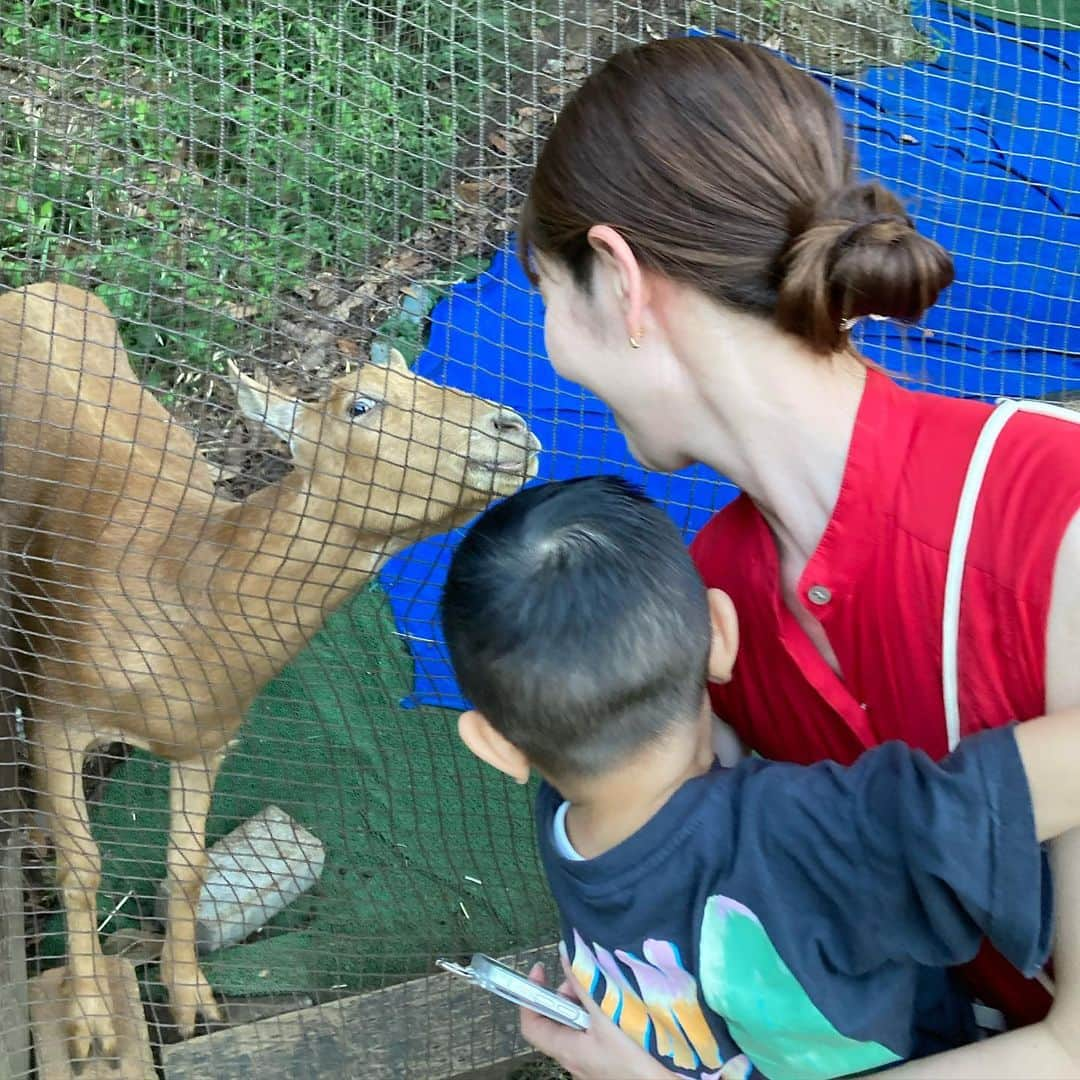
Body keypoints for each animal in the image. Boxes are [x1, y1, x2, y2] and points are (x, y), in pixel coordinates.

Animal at [0, 280, 540, 1062]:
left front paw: (191, 999)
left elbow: (187, 868)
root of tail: (39, 288)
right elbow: (84, 862)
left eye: (424, 378)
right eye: (360, 406)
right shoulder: (65, 713)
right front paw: (92, 1022)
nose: (511, 427)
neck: (187, 586)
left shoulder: (208, 737)